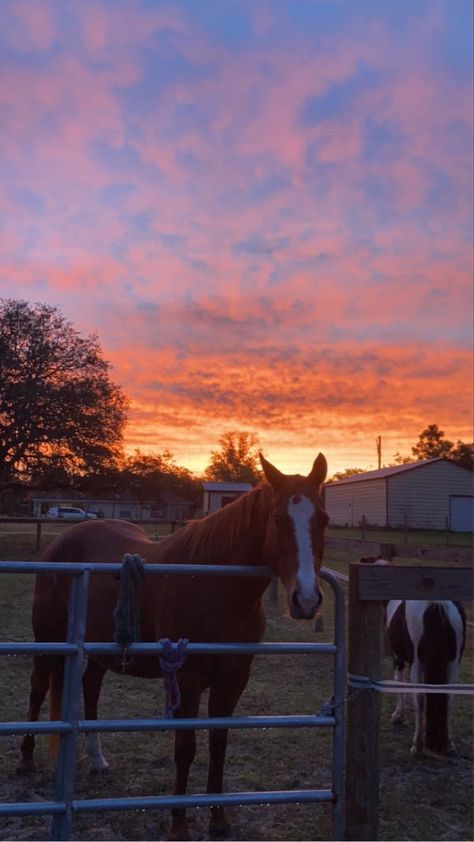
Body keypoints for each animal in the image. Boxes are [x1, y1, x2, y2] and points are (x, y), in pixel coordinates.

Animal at [19, 452, 330, 840]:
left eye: (323, 519)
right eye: (276, 517)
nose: (306, 599)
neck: (214, 586)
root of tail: (64, 541)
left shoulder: (233, 679)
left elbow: (218, 744)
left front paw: (218, 820)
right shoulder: (186, 678)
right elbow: (186, 748)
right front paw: (179, 824)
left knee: (89, 689)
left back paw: (97, 759)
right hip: (49, 640)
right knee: (38, 688)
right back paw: (26, 759)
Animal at [362, 560, 464, 752]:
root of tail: (436, 603)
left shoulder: (399, 658)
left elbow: (399, 682)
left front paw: (397, 715)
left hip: (416, 664)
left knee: (419, 699)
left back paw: (416, 744)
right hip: (453, 664)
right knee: (449, 698)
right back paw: (450, 744)